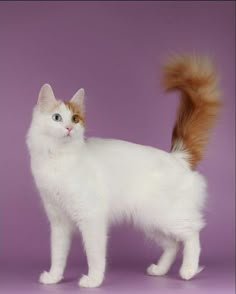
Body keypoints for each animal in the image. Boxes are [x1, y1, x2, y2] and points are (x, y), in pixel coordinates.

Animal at [26, 55, 221, 288]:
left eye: (75, 119)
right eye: (56, 118)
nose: (69, 128)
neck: (58, 158)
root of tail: (178, 158)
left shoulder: (91, 218)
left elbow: (94, 255)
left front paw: (94, 280)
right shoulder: (58, 221)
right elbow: (58, 255)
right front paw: (54, 277)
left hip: (165, 215)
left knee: (192, 233)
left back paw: (189, 270)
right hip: (149, 221)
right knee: (173, 244)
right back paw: (159, 270)